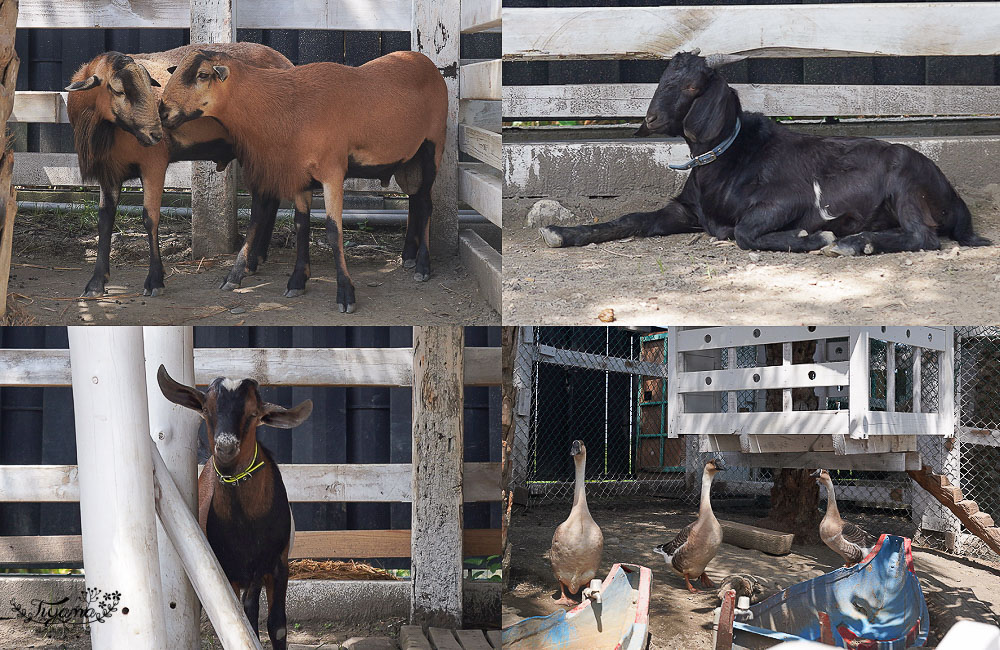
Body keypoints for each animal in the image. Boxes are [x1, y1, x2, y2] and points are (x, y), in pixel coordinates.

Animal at [156, 364, 310, 648]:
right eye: (206, 409)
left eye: (253, 414)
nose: (226, 447)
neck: (247, 527)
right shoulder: (230, 570)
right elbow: (241, 616)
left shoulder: (277, 563)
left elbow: (277, 626)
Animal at [158, 48, 448, 312]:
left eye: (202, 75)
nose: (162, 111)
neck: (289, 105)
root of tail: (424, 60)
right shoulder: (299, 176)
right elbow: (301, 225)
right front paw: (297, 281)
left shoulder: (333, 171)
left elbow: (333, 230)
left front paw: (345, 294)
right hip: (408, 160)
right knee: (415, 199)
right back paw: (408, 256)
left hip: (432, 146)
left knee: (426, 205)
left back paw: (423, 266)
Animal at [544, 52, 988, 254]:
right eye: (663, 77)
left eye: (691, 87)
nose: (650, 119)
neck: (725, 162)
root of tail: (952, 193)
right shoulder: (684, 210)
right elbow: (631, 218)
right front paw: (560, 233)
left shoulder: (787, 200)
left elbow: (744, 232)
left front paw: (816, 235)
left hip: (906, 183)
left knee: (923, 235)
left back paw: (855, 242)